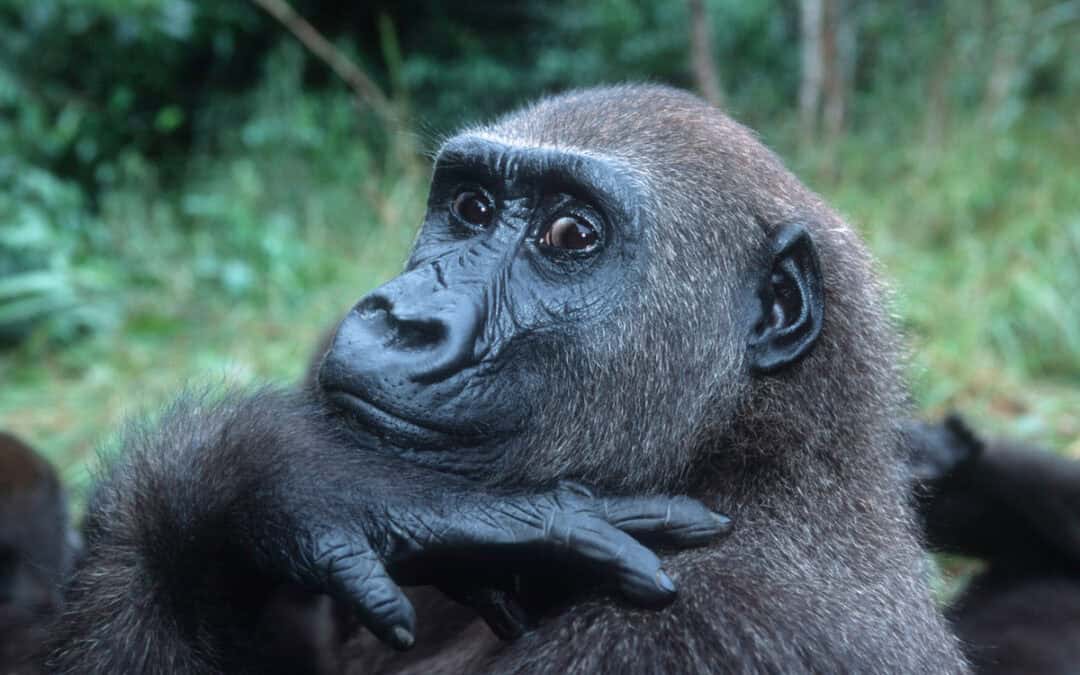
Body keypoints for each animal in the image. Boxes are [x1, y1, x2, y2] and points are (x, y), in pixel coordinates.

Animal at [47, 85, 966, 672]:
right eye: (471, 208)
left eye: (569, 234)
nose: (399, 315)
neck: (750, 455)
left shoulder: (701, 633)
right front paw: (289, 481)